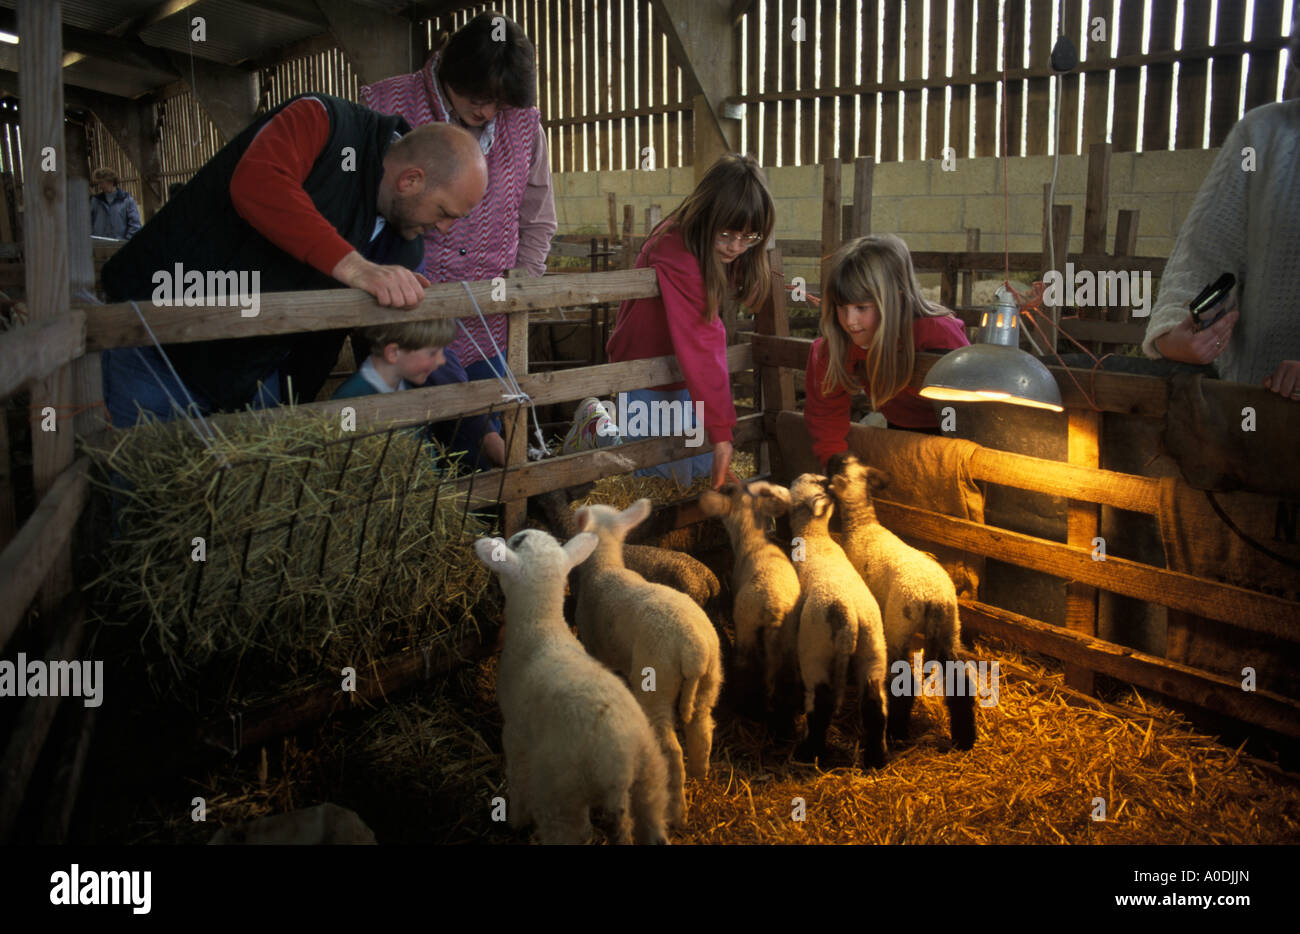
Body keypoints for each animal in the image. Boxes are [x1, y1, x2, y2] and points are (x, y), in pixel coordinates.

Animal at [473, 525, 670, 848]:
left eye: (516, 542)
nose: (518, 532)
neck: (542, 625)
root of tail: (618, 764)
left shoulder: (515, 737)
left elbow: (517, 780)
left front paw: (514, 821)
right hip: (651, 777)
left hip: (561, 797)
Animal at [574, 502, 728, 832]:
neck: (604, 565)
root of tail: (694, 649)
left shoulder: (595, 646)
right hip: (712, 677)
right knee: (702, 726)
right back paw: (700, 774)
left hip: (657, 683)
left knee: (671, 750)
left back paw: (677, 812)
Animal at [702, 478, 800, 723]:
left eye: (730, 491)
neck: (752, 541)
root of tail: (774, 607)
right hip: (789, 635)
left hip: (746, 627)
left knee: (745, 663)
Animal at [774, 476, 889, 770]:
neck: (815, 537)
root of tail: (849, 620)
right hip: (873, 647)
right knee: (874, 702)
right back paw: (877, 759)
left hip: (816, 650)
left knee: (822, 703)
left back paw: (809, 752)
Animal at [832, 452, 977, 754]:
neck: (862, 525)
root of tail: (934, 598)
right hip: (951, 628)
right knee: (958, 681)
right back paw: (964, 739)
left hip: (900, 623)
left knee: (904, 681)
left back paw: (897, 733)